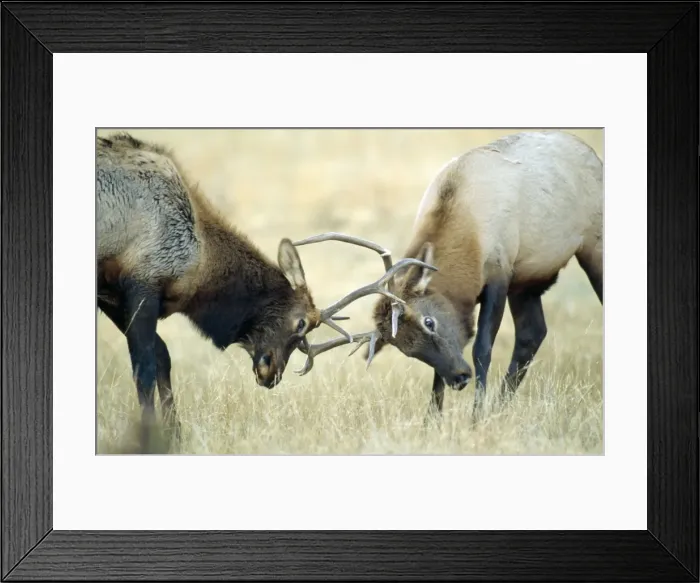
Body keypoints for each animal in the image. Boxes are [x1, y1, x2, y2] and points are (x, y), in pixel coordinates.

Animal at [96, 132, 432, 448]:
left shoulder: (114, 296)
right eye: (300, 322)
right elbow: (144, 368)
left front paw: (175, 436)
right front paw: (150, 437)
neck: (199, 258)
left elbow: (162, 356)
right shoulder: (142, 283)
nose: (272, 373)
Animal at [292, 130, 603, 421]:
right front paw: (432, 419)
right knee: (532, 333)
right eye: (406, 349)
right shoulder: (510, 280)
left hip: (592, 246)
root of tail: (593, 154)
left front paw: (476, 417)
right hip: (527, 282)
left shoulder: (500, 273)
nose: (460, 377)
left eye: (429, 321)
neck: (469, 238)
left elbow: (482, 349)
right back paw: (501, 406)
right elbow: (441, 368)